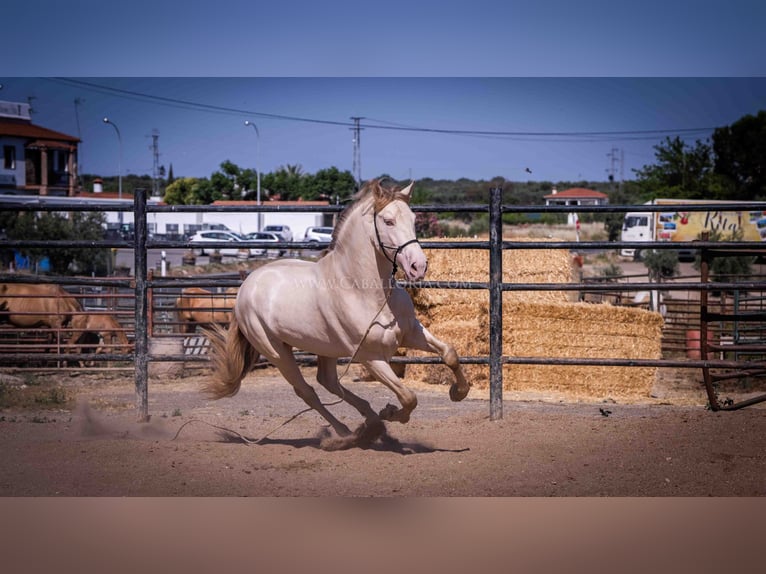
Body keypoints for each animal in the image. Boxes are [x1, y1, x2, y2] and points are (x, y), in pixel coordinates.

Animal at [204, 179, 472, 450]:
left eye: (413, 218)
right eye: (388, 221)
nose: (419, 266)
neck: (366, 292)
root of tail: (244, 288)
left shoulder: (411, 333)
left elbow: (449, 354)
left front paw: (458, 392)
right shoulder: (370, 357)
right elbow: (408, 397)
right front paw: (390, 413)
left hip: (325, 348)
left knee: (328, 382)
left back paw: (369, 424)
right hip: (277, 352)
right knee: (308, 392)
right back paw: (348, 434)